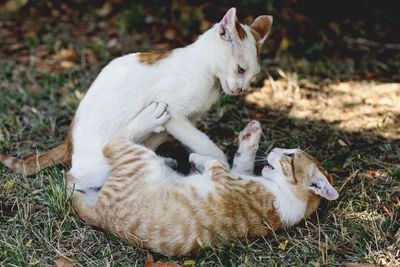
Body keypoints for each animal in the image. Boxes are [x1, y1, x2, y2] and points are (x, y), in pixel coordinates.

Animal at [0, 7, 274, 195]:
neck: (205, 70)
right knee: (81, 175)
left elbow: (193, 140)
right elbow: (207, 145)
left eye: (252, 76)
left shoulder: (183, 121)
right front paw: (221, 164)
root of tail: (69, 144)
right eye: (240, 69)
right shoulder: (174, 113)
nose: (242, 89)